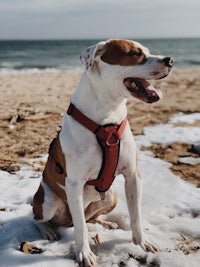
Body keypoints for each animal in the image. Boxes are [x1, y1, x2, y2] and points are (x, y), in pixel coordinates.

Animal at [32, 38, 173, 266]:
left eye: (148, 51)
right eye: (135, 54)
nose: (170, 60)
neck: (108, 116)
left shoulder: (132, 175)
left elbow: (136, 214)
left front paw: (142, 242)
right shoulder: (74, 184)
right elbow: (80, 228)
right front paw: (84, 253)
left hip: (110, 197)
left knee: (88, 218)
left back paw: (105, 224)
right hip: (49, 203)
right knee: (41, 218)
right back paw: (47, 231)